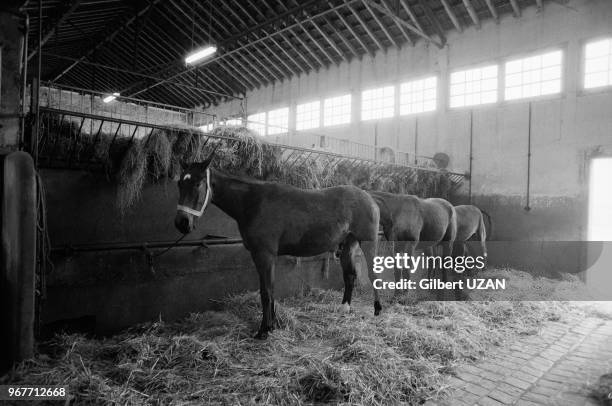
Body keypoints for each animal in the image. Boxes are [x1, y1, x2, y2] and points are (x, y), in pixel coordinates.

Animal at [175, 153, 380, 340]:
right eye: (179, 184)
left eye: (198, 184)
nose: (182, 223)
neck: (253, 202)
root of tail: (369, 197)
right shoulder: (265, 257)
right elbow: (270, 289)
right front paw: (272, 325)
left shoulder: (264, 255)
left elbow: (266, 292)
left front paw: (263, 331)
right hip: (348, 245)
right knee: (350, 276)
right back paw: (344, 308)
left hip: (367, 244)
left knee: (373, 274)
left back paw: (377, 310)